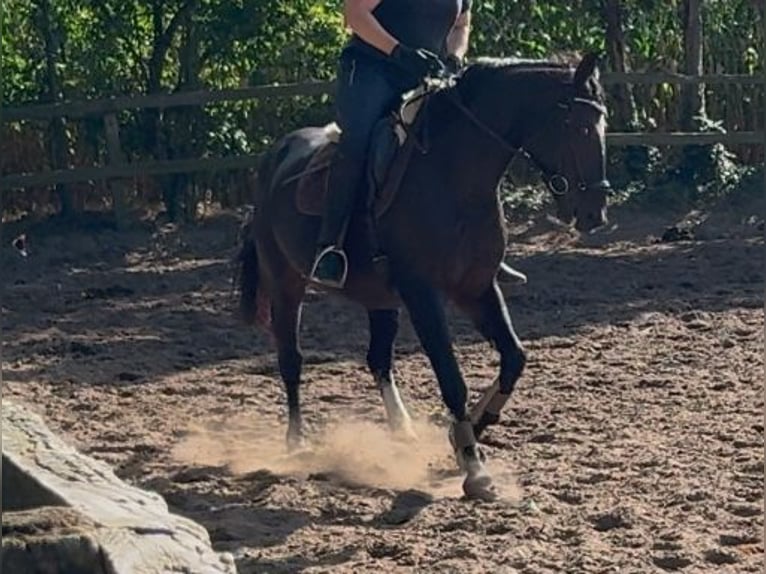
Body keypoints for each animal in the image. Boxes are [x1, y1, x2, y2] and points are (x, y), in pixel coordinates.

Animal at [236, 52, 611, 500]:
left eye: (603, 124)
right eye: (576, 127)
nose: (594, 213)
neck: (454, 178)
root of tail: (274, 157)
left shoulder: (477, 288)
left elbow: (514, 358)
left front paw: (473, 430)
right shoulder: (423, 293)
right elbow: (452, 378)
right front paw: (473, 466)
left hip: (379, 298)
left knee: (377, 358)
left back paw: (402, 429)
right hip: (284, 282)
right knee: (291, 358)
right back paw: (296, 443)